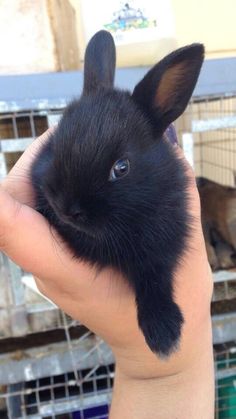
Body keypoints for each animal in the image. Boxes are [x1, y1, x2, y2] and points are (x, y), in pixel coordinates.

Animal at [30, 30, 205, 358]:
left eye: (121, 168)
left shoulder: (164, 246)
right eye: (54, 145)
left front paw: (164, 336)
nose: (66, 208)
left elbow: (155, 279)